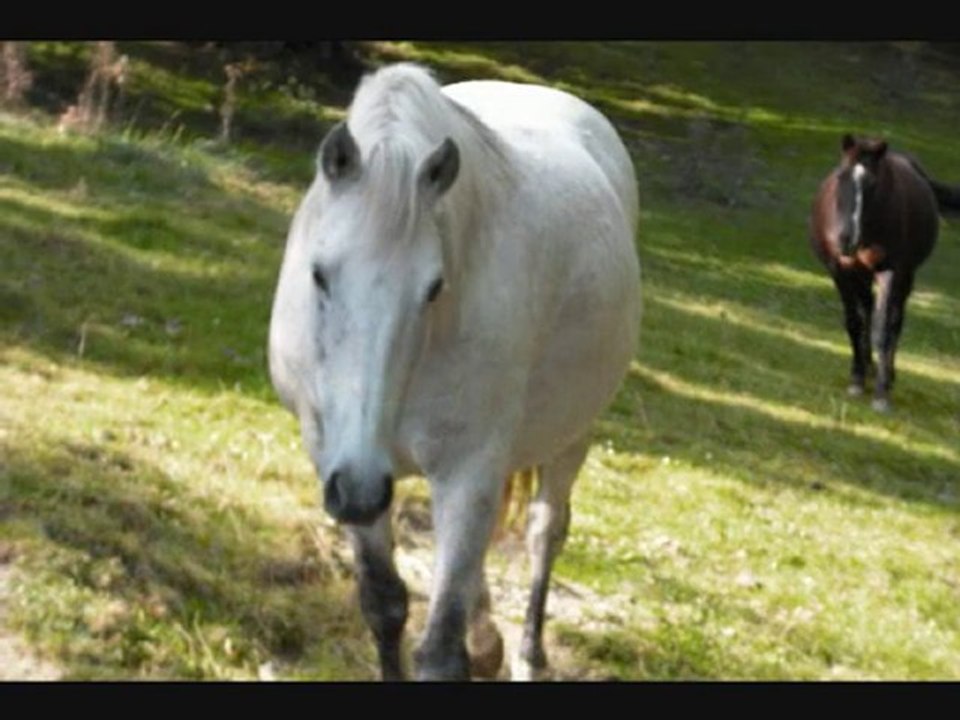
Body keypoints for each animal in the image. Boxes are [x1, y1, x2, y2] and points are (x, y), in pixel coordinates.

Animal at [268, 63, 641, 680]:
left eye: (433, 288)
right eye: (319, 274)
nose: (361, 488)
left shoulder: (466, 472)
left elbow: (442, 650)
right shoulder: (337, 459)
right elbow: (385, 603)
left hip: (572, 434)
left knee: (544, 532)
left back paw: (528, 655)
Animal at [809, 133, 960, 412]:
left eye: (872, 183)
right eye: (841, 176)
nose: (845, 238)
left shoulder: (890, 271)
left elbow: (883, 330)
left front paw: (881, 395)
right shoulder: (841, 270)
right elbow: (854, 322)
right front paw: (856, 379)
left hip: (905, 276)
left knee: (894, 321)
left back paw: (887, 375)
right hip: (862, 274)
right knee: (866, 310)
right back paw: (868, 368)